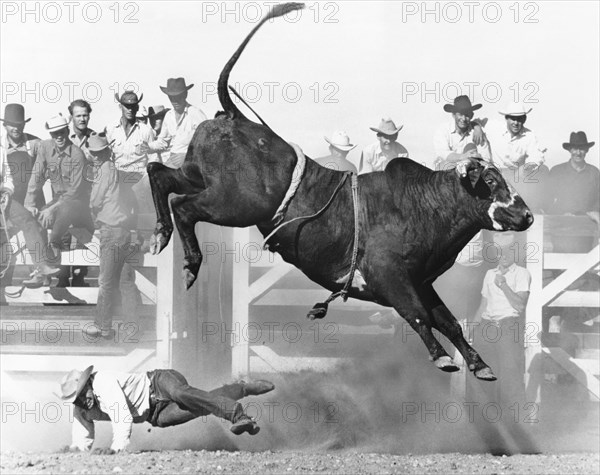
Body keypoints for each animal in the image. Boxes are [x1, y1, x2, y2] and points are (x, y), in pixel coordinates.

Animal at [148, 2, 532, 384]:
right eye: (491, 182)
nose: (527, 215)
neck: (424, 205)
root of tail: (237, 119)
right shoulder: (391, 277)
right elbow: (419, 315)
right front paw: (442, 358)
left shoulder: (422, 282)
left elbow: (449, 322)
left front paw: (479, 363)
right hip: (236, 203)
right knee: (183, 206)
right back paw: (190, 264)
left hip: (198, 176)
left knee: (160, 175)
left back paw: (160, 234)